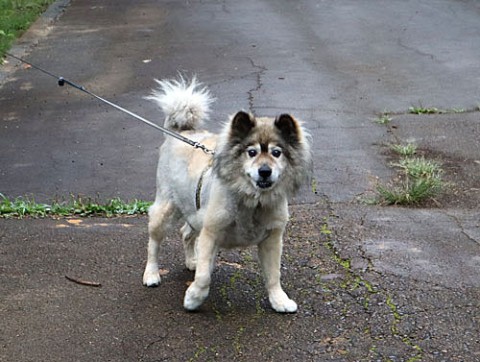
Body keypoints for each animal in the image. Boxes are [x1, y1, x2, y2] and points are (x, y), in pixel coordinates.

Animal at [142, 75, 312, 312]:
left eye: (277, 153)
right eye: (252, 152)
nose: (265, 171)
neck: (252, 201)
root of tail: (180, 132)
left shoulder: (272, 239)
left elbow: (273, 275)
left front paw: (279, 300)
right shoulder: (211, 233)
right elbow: (204, 276)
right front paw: (193, 298)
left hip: (193, 211)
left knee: (186, 233)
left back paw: (191, 261)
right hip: (166, 210)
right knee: (154, 244)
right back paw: (151, 274)